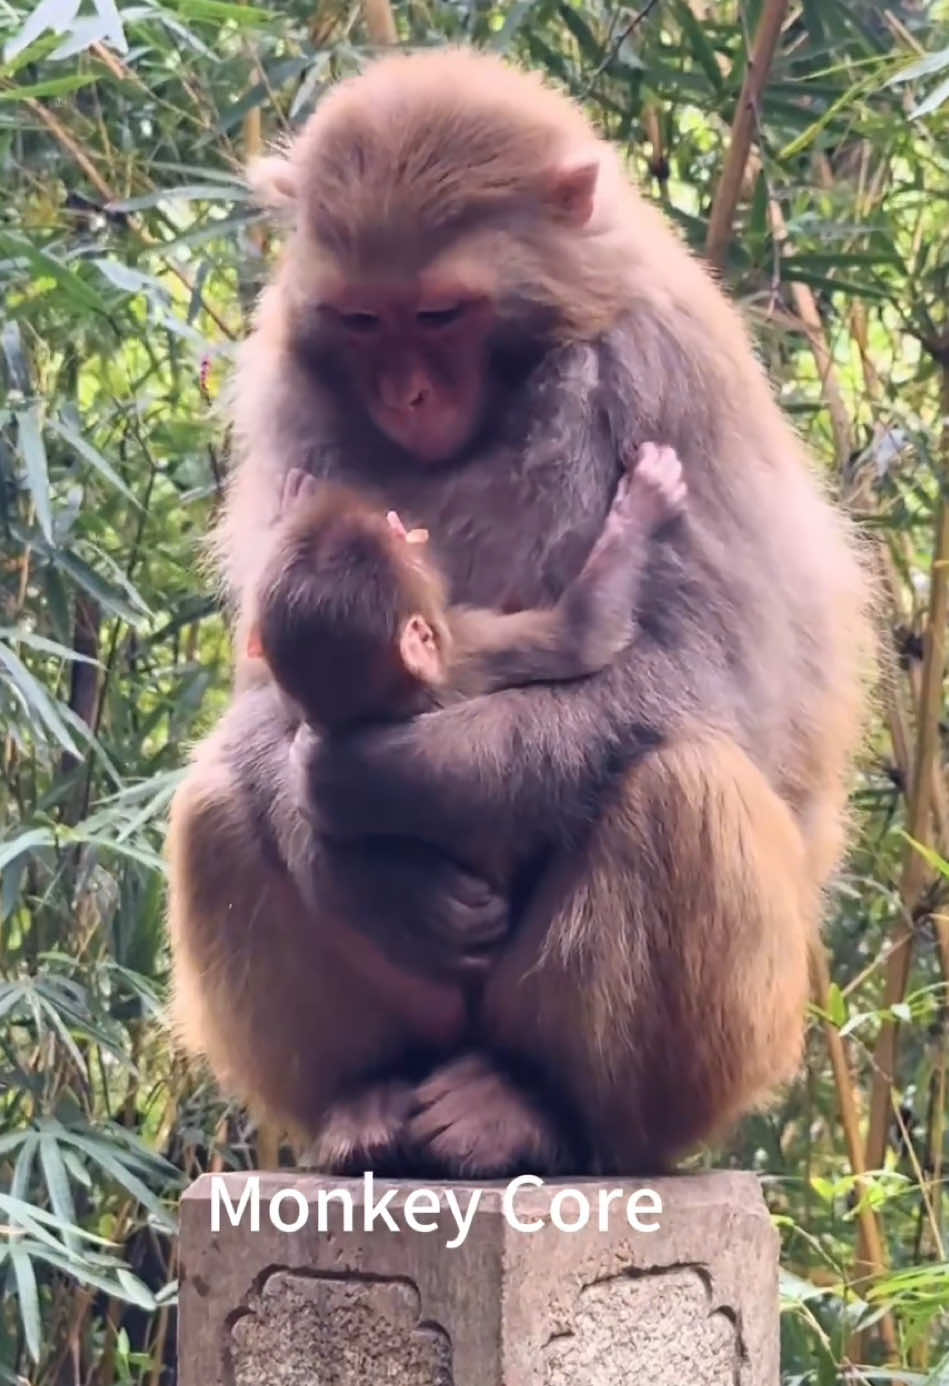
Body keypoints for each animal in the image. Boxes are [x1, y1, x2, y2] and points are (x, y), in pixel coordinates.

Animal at [167, 48, 871, 1177]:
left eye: (440, 315)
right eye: (362, 319)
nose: (406, 396)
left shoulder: (666, 367)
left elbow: (709, 680)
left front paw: (382, 780)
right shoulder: (290, 393)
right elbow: (264, 685)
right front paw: (362, 873)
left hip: (717, 1064)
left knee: (683, 787)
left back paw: (536, 1108)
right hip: (425, 1015)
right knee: (216, 806)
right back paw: (367, 1099)